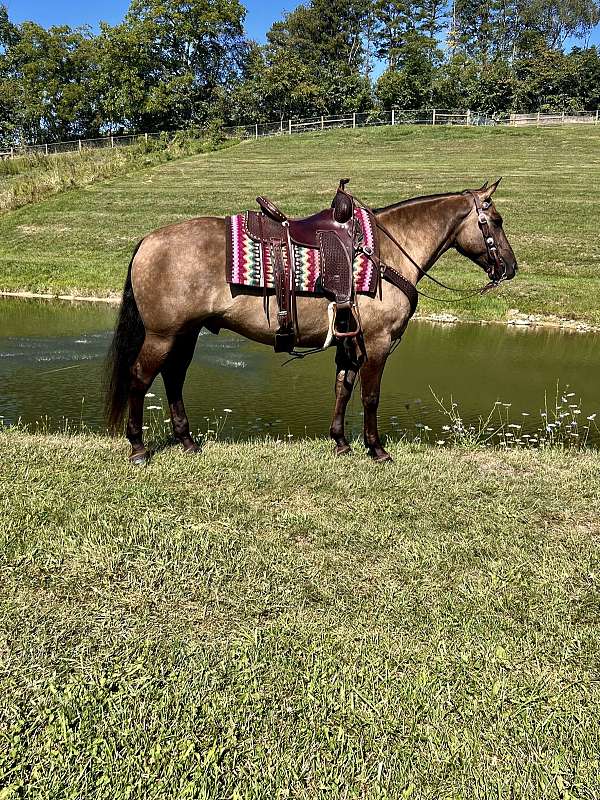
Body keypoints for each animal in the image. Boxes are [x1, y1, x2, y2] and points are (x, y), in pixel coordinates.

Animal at [106, 175, 516, 462]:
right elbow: (370, 396)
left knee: (174, 378)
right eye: (495, 220)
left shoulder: (350, 340)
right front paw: (376, 449)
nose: (510, 268)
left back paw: (187, 441)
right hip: (162, 334)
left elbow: (343, 388)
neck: (386, 253)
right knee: (140, 378)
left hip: (186, 333)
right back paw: (138, 447)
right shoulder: (378, 342)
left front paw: (340, 442)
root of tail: (147, 241)